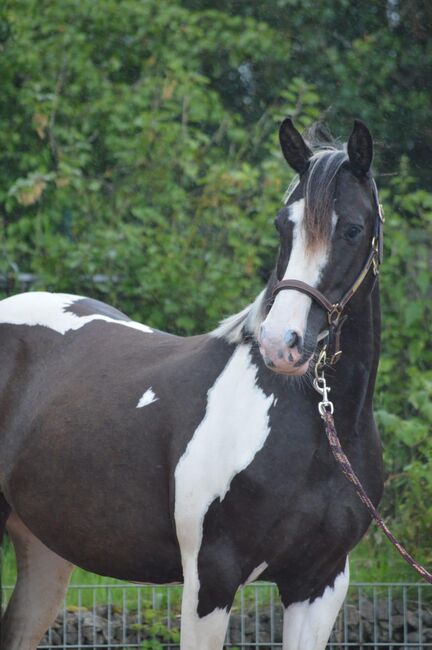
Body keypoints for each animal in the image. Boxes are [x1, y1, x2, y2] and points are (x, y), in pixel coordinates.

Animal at [0, 117, 384, 648]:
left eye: (352, 229)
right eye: (282, 225)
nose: (281, 343)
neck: (317, 433)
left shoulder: (320, 584)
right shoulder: (211, 579)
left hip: (45, 549)